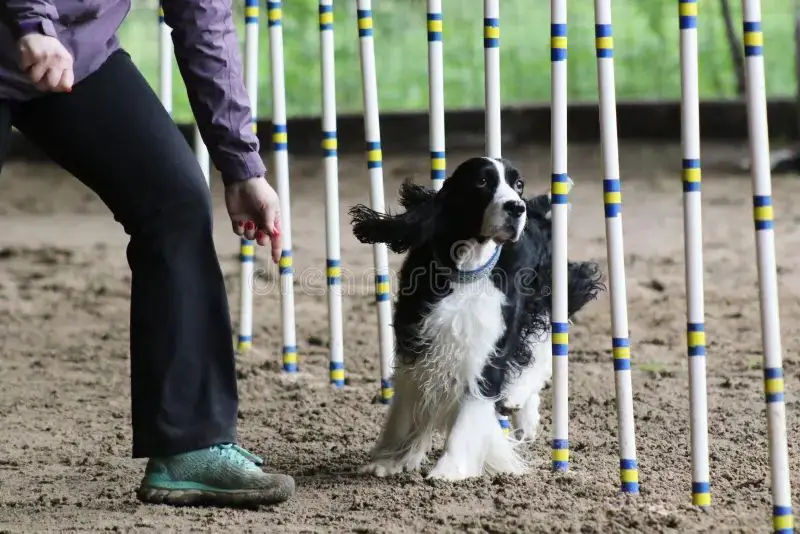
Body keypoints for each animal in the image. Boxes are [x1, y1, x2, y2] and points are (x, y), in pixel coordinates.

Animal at [348, 157, 600, 484]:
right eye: (482, 181)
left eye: (518, 184)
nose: (516, 207)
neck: (467, 268)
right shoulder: (417, 337)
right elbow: (409, 401)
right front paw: (392, 460)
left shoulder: (486, 345)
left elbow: (471, 409)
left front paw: (449, 468)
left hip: (546, 297)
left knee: (540, 351)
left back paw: (517, 401)